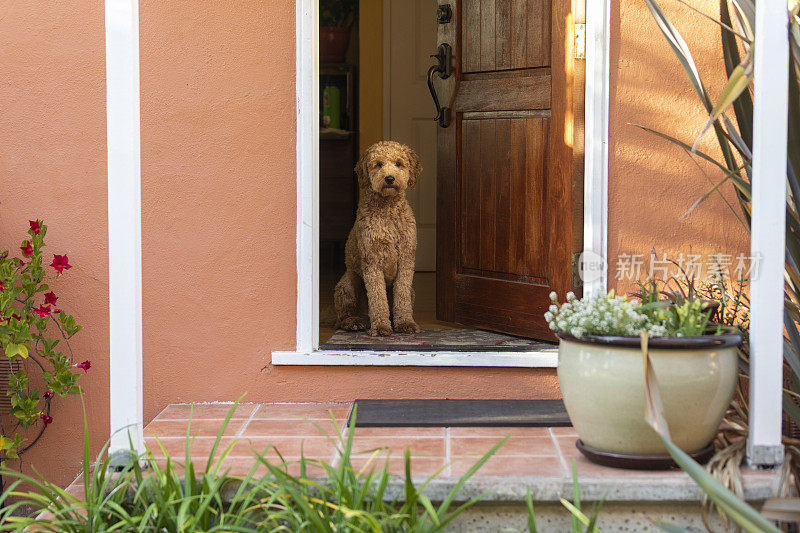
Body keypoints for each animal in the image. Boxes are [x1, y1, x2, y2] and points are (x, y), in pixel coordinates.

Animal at [334, 139, 424, 334]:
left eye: (398, 163)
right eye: (379, 164)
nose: (389, 178)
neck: (388, 207)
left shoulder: (406, 258)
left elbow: (401, 296)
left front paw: (405, 323)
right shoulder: (372, 259)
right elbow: (377, 297)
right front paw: (382, 326)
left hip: (412, 290)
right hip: (349, 282)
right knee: (344, 315)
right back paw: (355, 322)